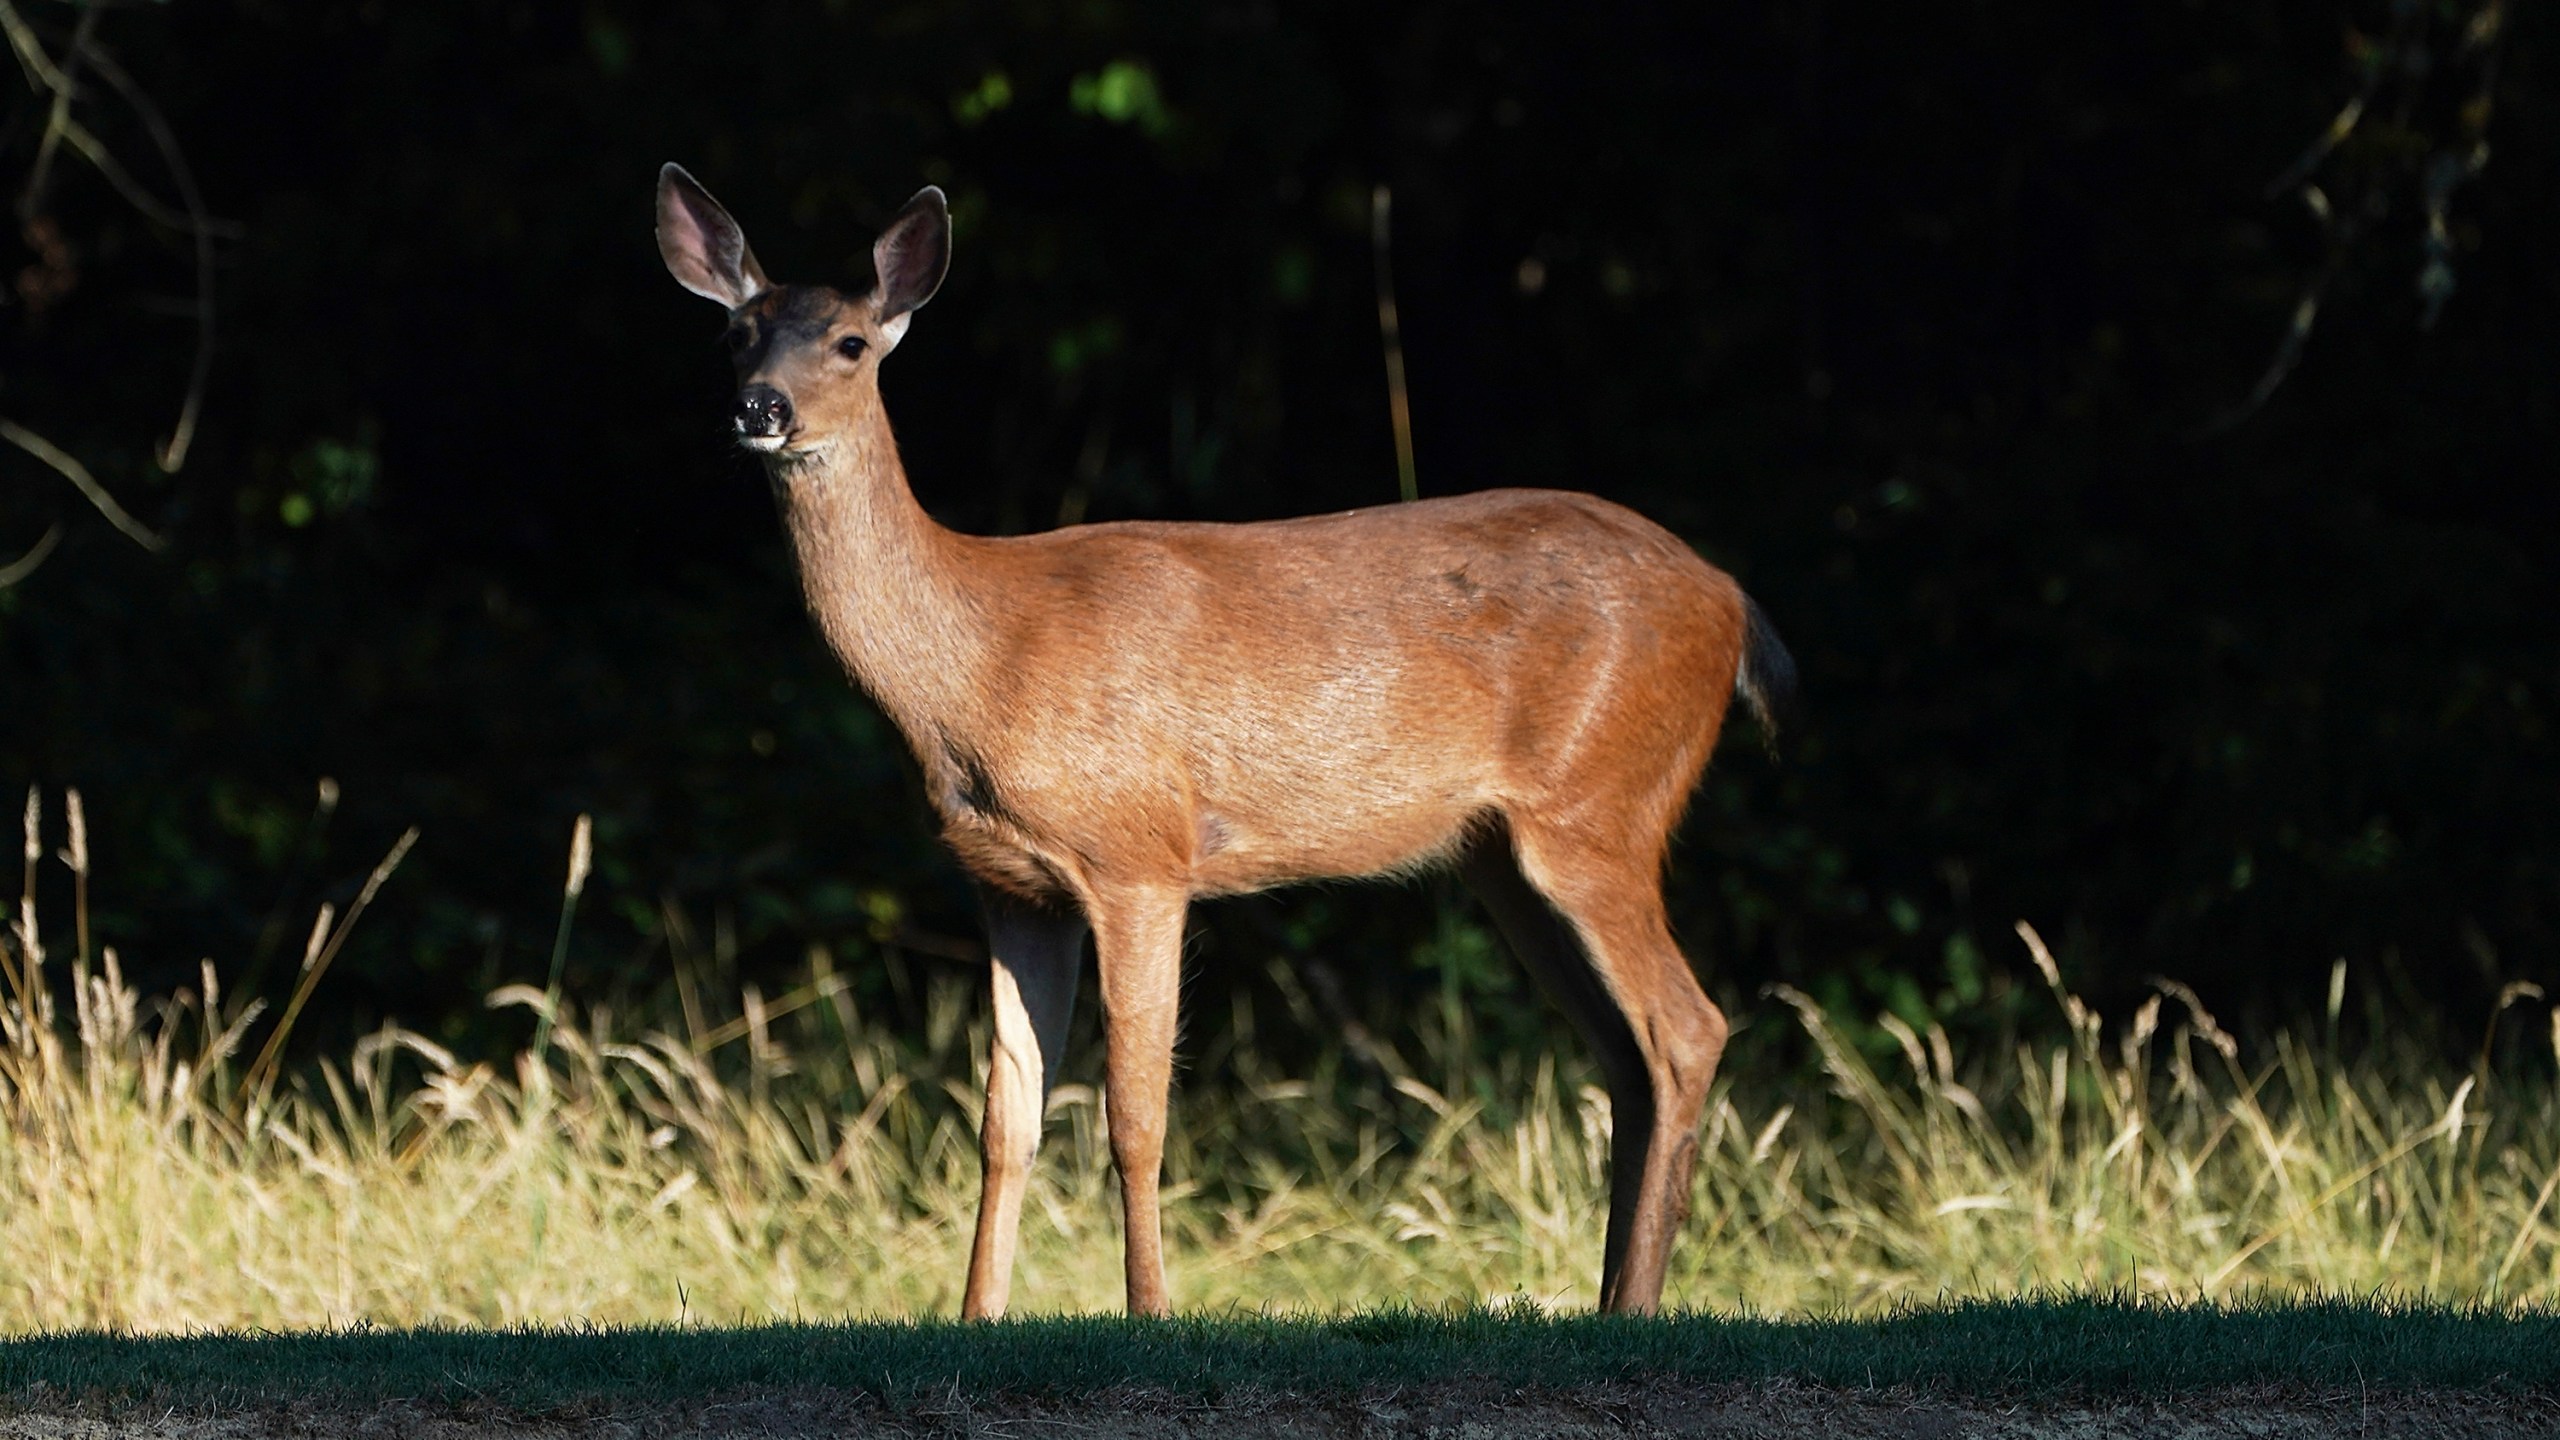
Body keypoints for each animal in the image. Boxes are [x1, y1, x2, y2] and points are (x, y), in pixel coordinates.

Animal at [650, 165, 1792, 1311]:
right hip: (1503, 857)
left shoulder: (1139, 856)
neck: (978, 666)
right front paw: (973, 1317)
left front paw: (1150, 1310)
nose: (761, 407)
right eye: (735, 336)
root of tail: (1734, 603)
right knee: (1627, 1056)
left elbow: (1135, 1121)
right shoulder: (1011, 886)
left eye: (849, 341)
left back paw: (1633, 1301)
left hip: (1600, 806)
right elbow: (1005, 1127)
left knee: (1686, 1030)